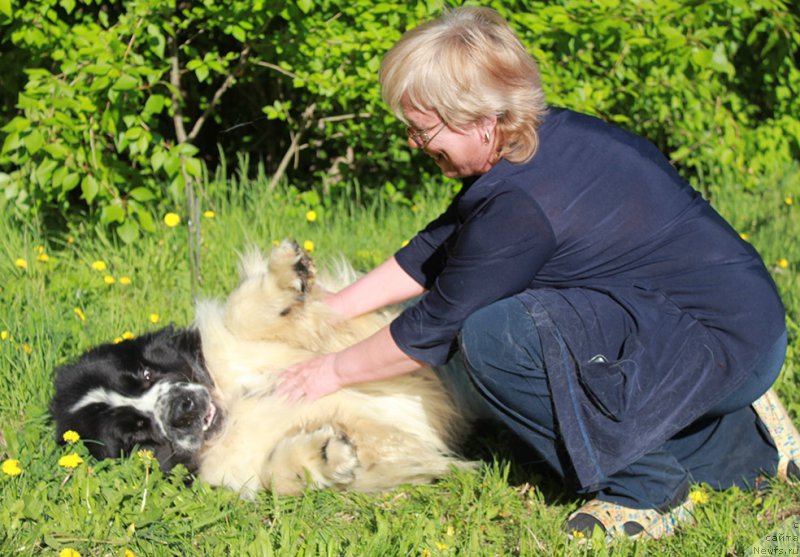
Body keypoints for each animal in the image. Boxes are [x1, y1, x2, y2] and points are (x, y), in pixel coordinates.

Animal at [51, 241, 476, 494]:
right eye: (137, 435)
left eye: (144, 375)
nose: (181, 409)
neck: (231, 403)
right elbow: (278, 468)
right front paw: (326, 453)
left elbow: (242, 312)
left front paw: (287, 270)